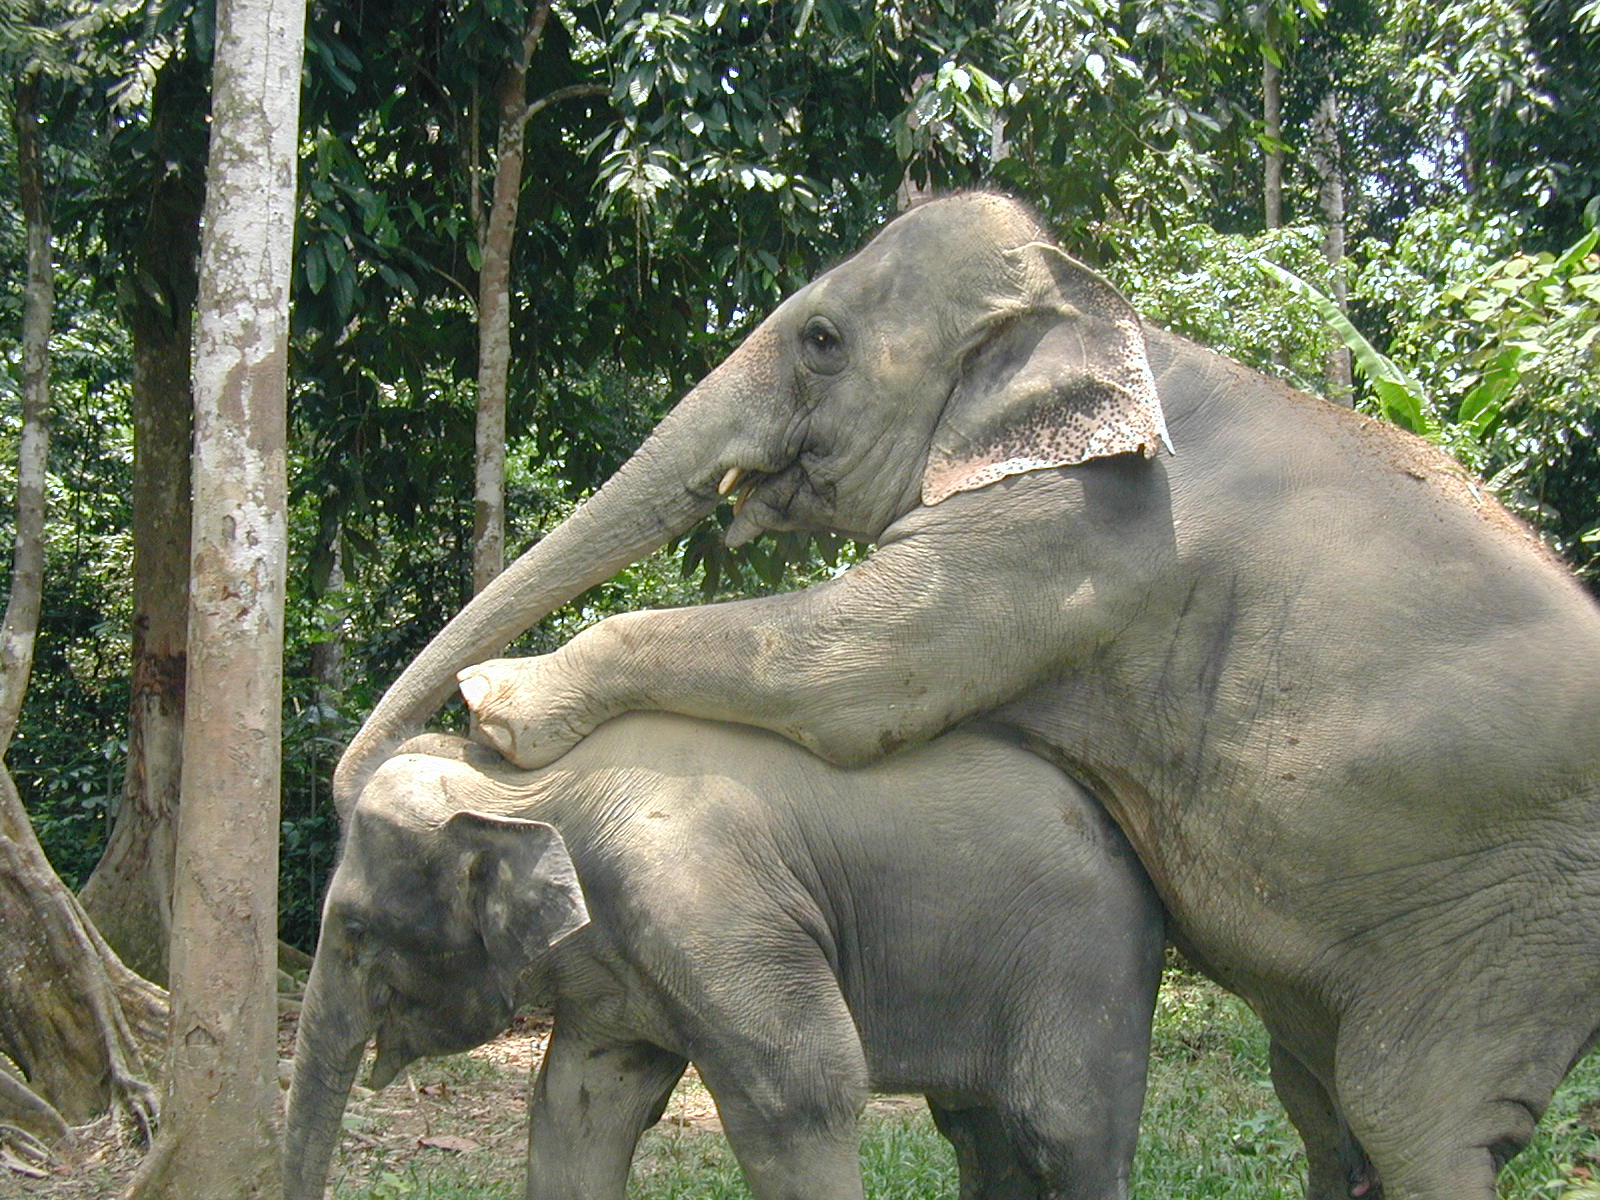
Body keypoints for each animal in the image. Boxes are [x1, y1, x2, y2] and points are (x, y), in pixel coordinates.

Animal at [288, 713, 1164, 1200]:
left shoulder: (709, 905)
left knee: (1065, 1131)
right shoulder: (618, 978)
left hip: (1089, 960)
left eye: (358, 934)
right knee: (981, 1132)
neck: (525, 783)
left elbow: (804, 1092)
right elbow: (580, 1104)